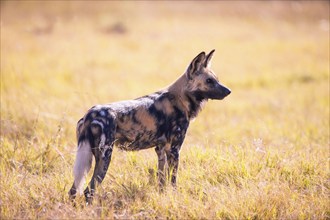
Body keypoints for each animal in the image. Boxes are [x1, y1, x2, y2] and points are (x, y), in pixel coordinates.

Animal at [68, 49, 231, 203]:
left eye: (216, 79)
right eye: (209, 81)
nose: (229, 91)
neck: (180, 98)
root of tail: (90, 114)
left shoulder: (161, 150)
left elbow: (161, 181)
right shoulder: (174, 150)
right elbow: (173, 181)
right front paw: (174, 196)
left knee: (73, 191)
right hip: (105, 156)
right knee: (89, 191)